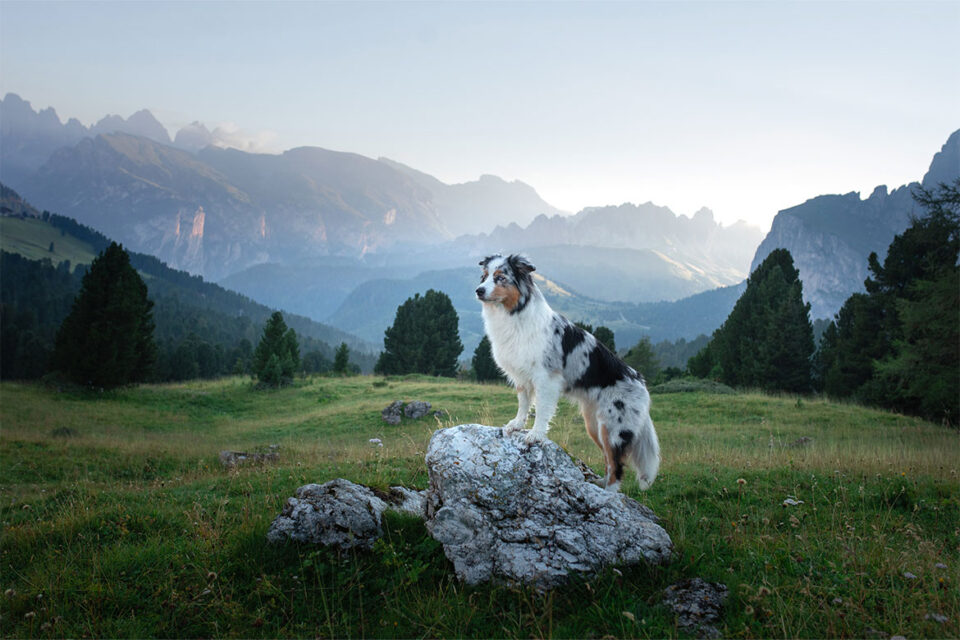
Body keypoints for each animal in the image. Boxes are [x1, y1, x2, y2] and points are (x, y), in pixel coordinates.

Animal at [474, 252, 660, 492]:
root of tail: (641, 384)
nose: (478, 290)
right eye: (484, 277)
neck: (514, 314)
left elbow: (542, 410)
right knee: (608, 460)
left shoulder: (546, 379)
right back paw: (598, 483)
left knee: (617, 466)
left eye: (500, 278)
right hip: (594, 425)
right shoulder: (522, 376)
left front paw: (535, 435)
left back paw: (608, 493)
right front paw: (516, 424)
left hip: (613, 427)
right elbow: (523, 403)